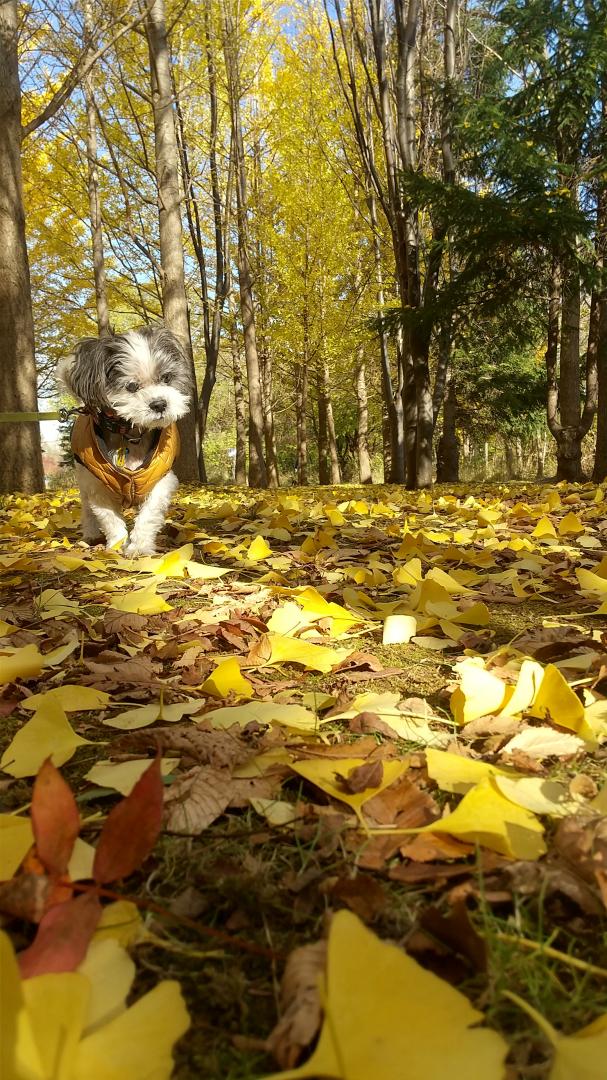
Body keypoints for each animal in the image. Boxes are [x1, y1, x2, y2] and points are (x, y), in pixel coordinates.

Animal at [58, 324, 191, 557]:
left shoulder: (160, 480)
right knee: (87, 511)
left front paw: (138, 546)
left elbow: (149, 514)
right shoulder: (97, 486)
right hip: (84, 480)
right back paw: (91, 534)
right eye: (131, 386)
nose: (159, 403)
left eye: (166, 378)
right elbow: (109, 518)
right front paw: (117, 544)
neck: (131, 434)